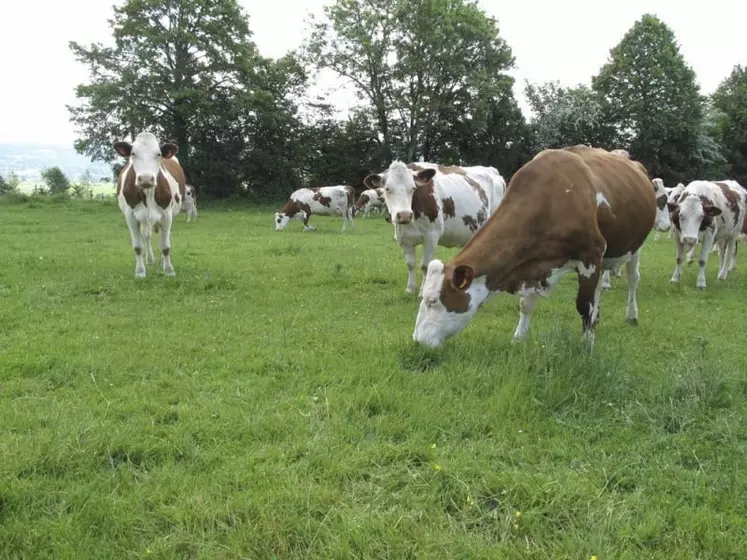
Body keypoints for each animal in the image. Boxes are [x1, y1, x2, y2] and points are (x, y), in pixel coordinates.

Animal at [114, 132, 186, 280]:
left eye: (158, 154)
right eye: (133, 153)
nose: (146, 179)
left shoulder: (167, 215)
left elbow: (165, 245)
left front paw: (168, 270)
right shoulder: (130, 216)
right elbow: (138, 246)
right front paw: (140, 272)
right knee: (146, 236)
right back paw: (150, 260)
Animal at [364, 160, 506, 296]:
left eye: (413, 188)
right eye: (387, 188)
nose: (404, 215)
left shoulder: (431, 236)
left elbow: (425, 265)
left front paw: (422, 292)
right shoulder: (403, 238)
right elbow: (410, 264)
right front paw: (410, 289)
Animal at [412, 145, 656, 346]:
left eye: (433, 301)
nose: (417, 340)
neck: (552, 198)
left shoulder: (590, 255)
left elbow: (584, 305)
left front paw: (587, 344)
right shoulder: (531, 261)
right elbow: (526, 304)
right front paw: (519, 337)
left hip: (634, 247)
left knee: (632, 279)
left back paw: (631, 315)